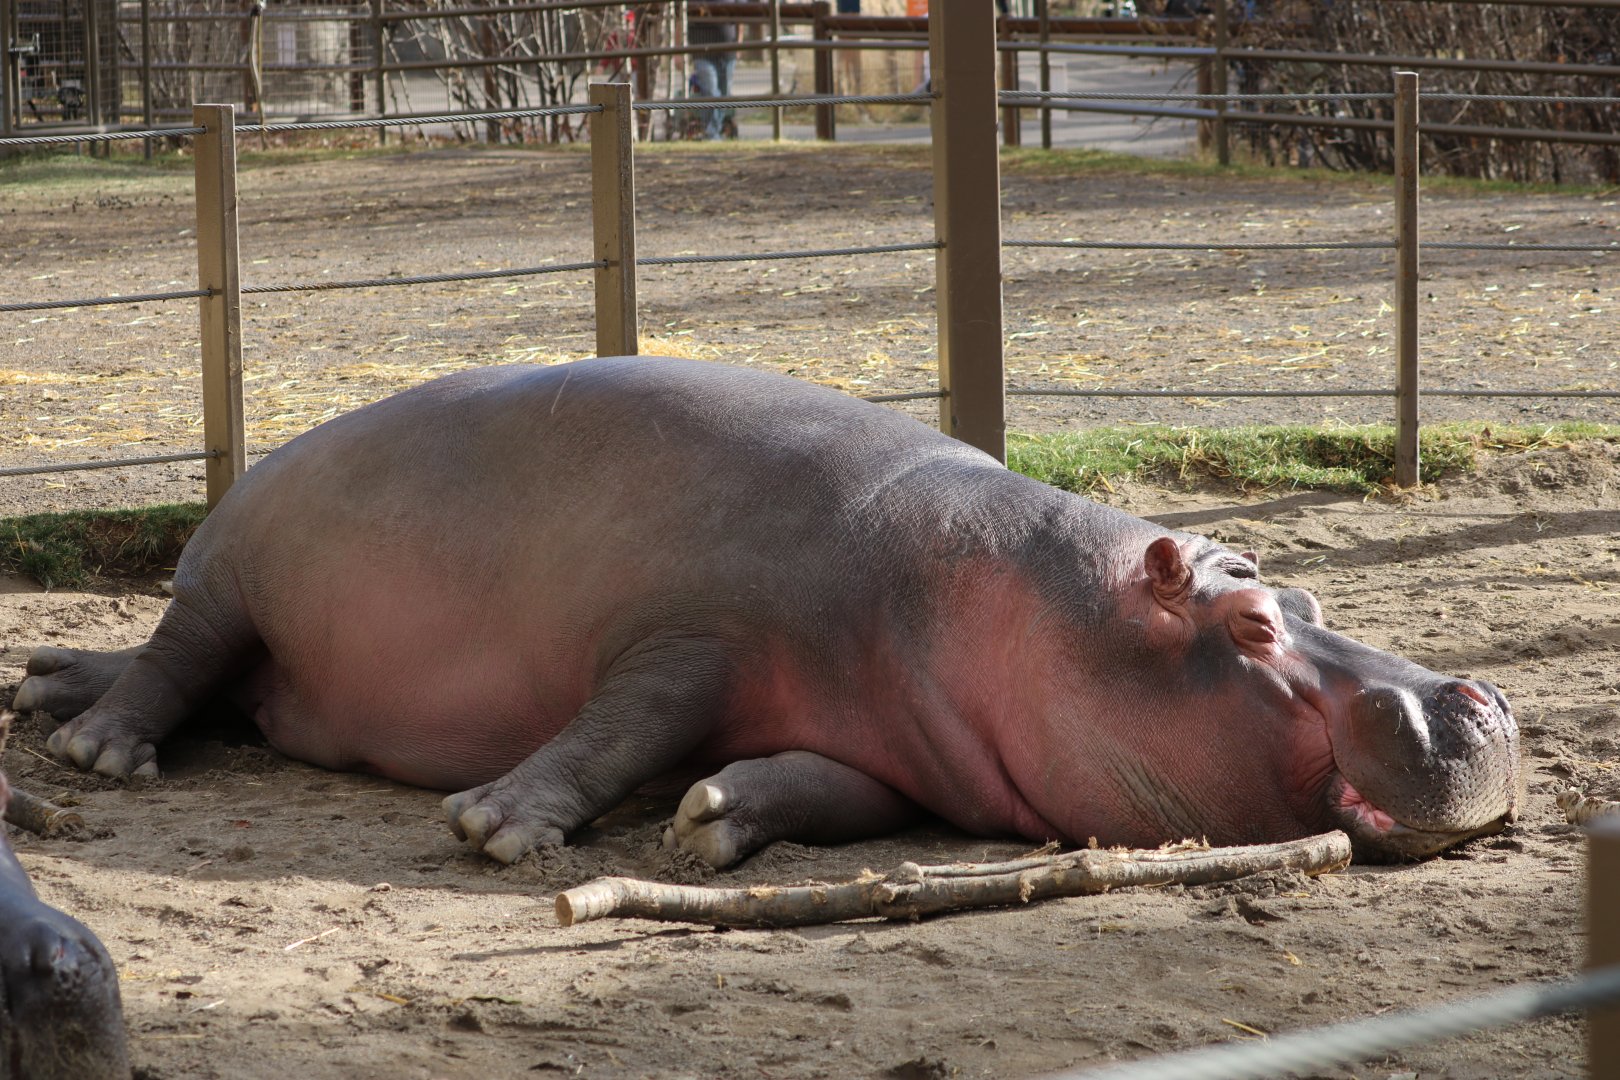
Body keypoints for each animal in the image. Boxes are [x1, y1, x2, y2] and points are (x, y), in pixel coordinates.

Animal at [14, 356, 1521, 868]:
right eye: (1255, 627)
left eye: (1308, 589)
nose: (1475, 695)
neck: (1022, 601)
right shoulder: (693, 632)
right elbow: (620, 725)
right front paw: (498, 828)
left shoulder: (908, 755)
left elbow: (828, 790)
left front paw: (711, 816)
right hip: (235, 578)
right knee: (178, 655)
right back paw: (96, 752)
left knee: (176, 670)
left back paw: (46, 685)